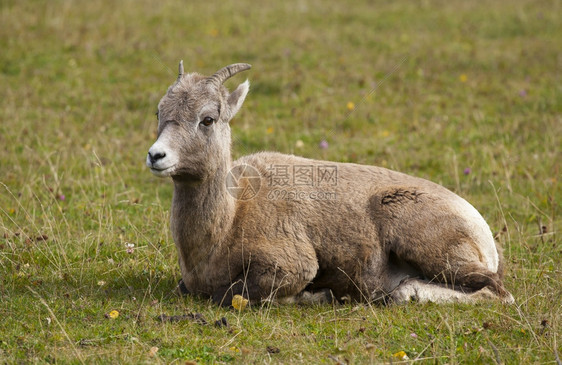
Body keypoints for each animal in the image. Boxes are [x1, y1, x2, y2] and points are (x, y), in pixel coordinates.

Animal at [145, 61, 512, 304]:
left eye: (207, 119)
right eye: (159, 112)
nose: (156, 156)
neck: (230, 219)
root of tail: (482, 232)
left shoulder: (292, 266)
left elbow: (233, 295)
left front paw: (316, 296)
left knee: (495, 292)